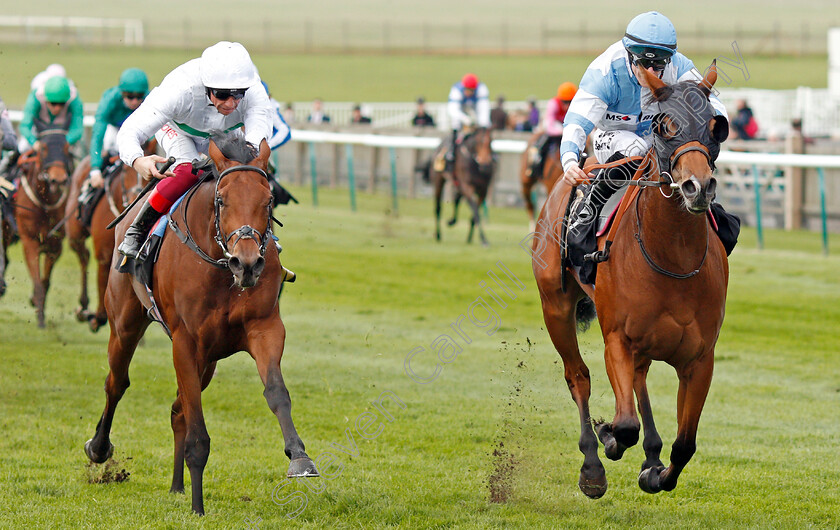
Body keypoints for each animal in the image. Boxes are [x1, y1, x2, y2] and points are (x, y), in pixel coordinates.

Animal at [65, 141, 153, 330]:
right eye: (127, 170)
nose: (137, 195)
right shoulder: (104, 254)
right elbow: (101, 280)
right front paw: (95, 317)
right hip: (74, 234)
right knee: (83, 255)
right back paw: (83, 306)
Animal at [84, 136, 316, 512]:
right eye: (222, 200)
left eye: (268, 200)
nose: (247, 263)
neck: (222, 267)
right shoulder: (185, 342)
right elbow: (197, 431)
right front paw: (198, 507)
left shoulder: (264, 328)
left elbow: (276, 392)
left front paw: (299, 457)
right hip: (125, 324)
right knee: (116, 383)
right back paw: (100, 447)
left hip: (209, 359)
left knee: (178, 409)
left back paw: (177, 485)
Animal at [536, 64, 732, 498]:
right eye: (665, 125)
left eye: (715, 125)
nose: (697, 187)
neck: (672, 258)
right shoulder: (617, 341)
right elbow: (625, 426)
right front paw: (607, 436)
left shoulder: (700, 359)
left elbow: (685, 444)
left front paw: (655, 471)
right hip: (555, 304)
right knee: (578, 377)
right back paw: (593, 463)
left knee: (640, 382)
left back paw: (652, 454)